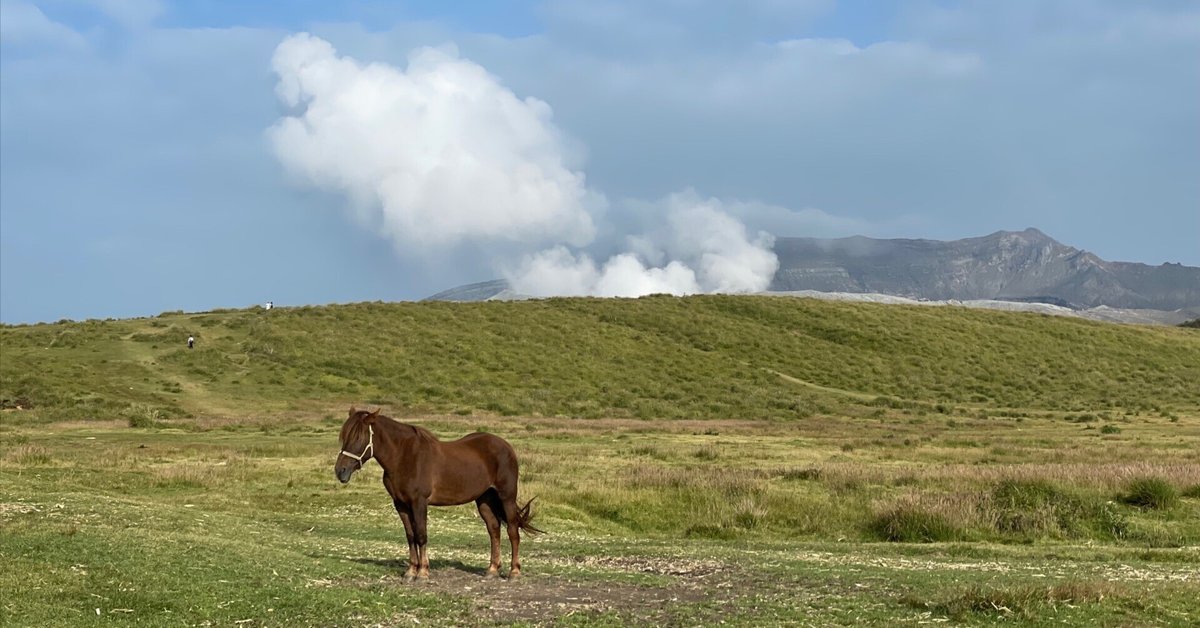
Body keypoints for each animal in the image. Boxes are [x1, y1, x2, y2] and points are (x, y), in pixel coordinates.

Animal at [331, 408, 542, 581]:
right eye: (344, 437)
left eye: (358, 438)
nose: (340, 471)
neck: (404, 457)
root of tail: (506, 446)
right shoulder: (401, 505)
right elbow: (410, 536)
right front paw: (411, 571)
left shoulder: (419, 502)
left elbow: (421, 535)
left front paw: (423, 572)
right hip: (484, 499)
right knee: (494, 529)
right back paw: (492, 570)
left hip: (507, 496)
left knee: (512, 530)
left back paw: (514, 572)